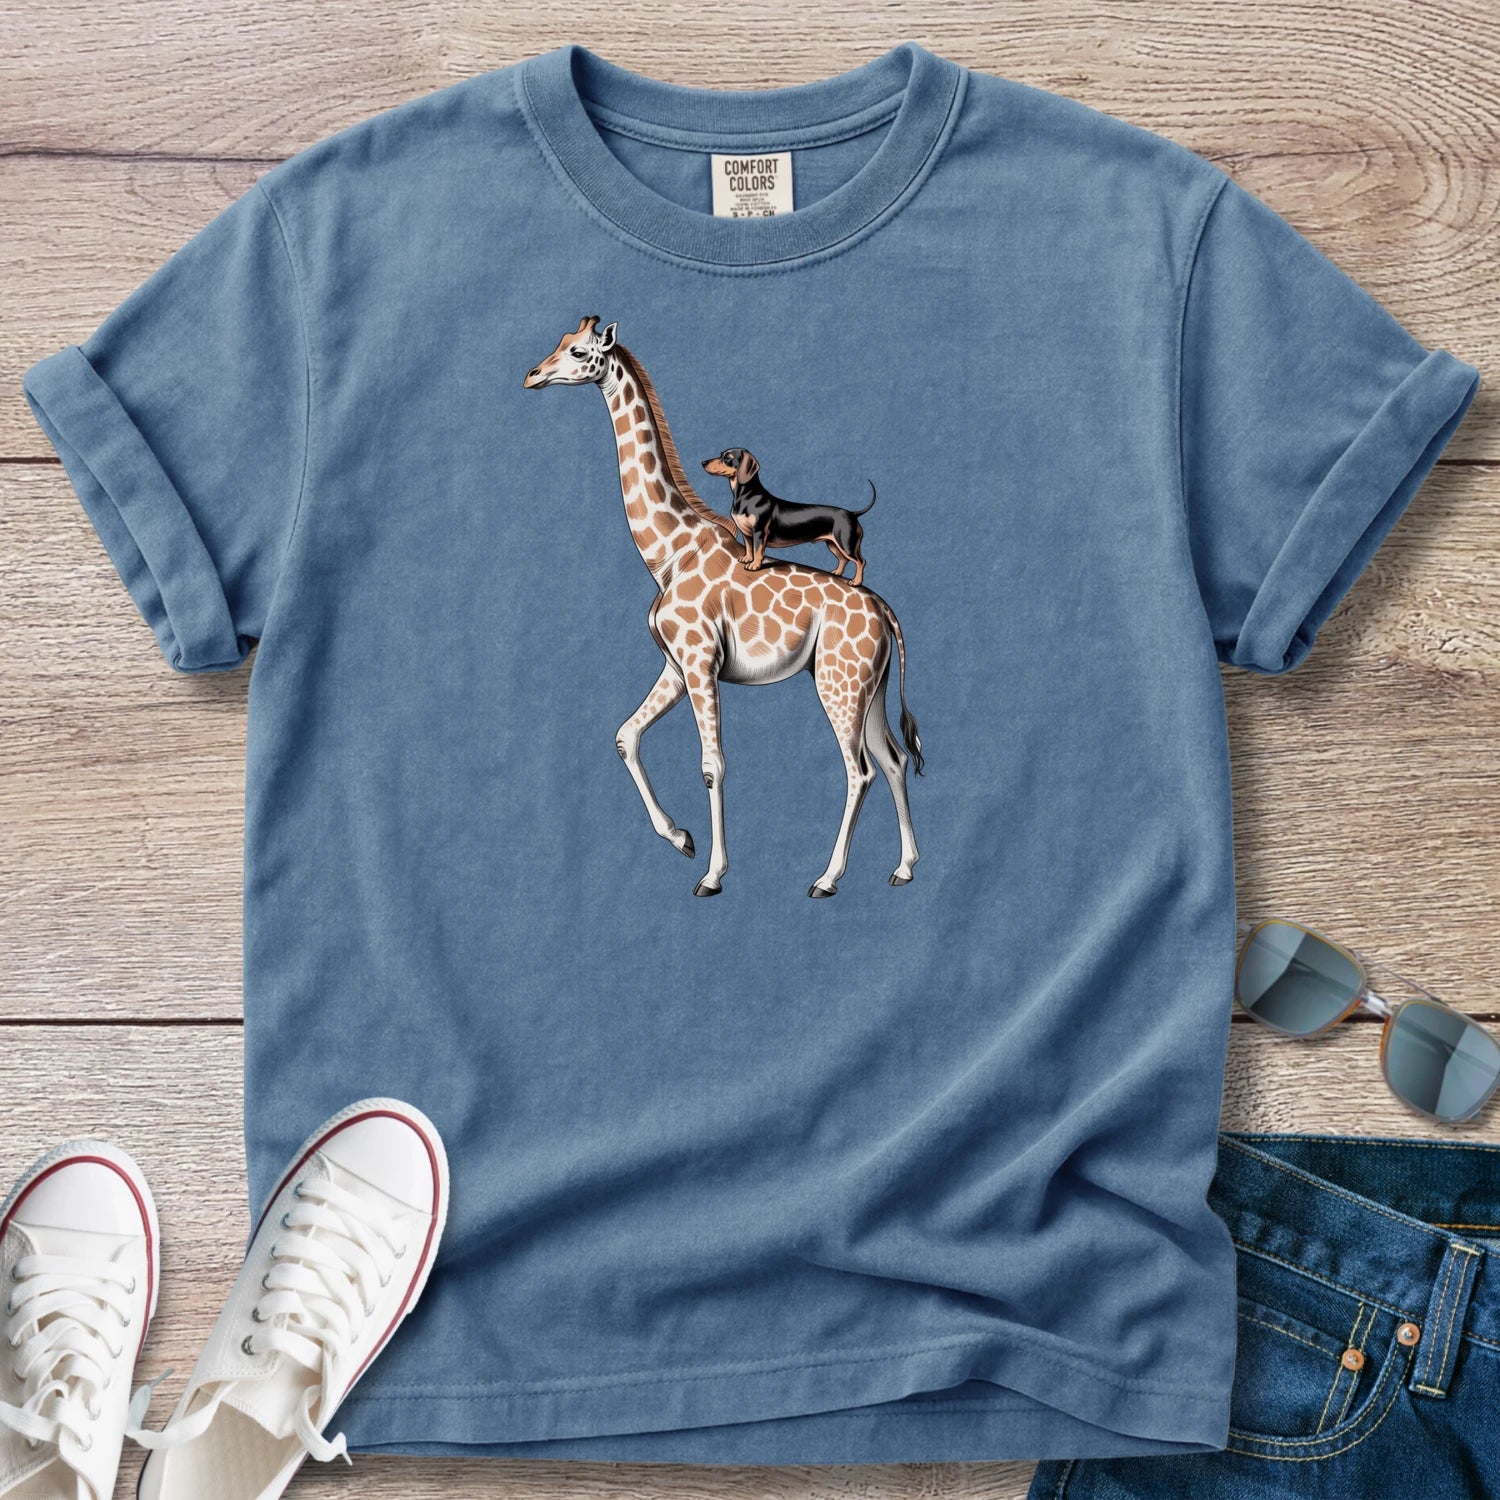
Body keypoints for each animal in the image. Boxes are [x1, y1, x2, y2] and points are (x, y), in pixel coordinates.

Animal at [524, 316, 922, 898]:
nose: (532, 376)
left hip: (839, 684)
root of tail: (884, 611)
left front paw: (712, 874)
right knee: (893, 760)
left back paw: (827, 879)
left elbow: (712, 765)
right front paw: (681, 838)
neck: (667, 553)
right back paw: (905, 867)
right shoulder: (675, 665)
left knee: (861, 769)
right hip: (866, 686)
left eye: (577, 352)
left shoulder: (700, 662)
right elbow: (625, 736)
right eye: (557, 343)